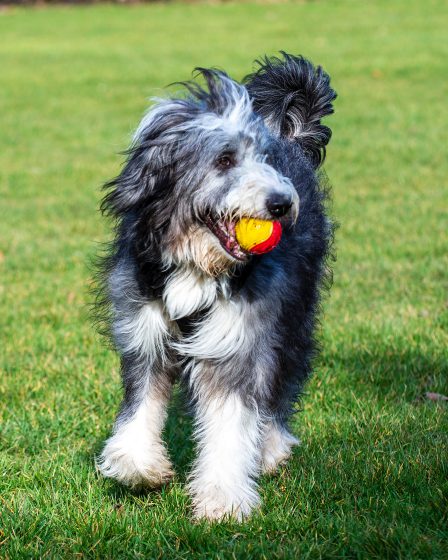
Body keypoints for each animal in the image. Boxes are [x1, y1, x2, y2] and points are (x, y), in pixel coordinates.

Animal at [94, 51, 336, 520]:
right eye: (224, 160)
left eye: (264, 159)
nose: (282, 204)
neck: (196, 265)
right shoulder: (145, 332)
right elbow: (142, 402)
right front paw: (141, 466)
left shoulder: (238, 338)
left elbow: (231, 420)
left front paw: (222, 498)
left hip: (294, 314)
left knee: (281, 381)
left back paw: (270, 446)